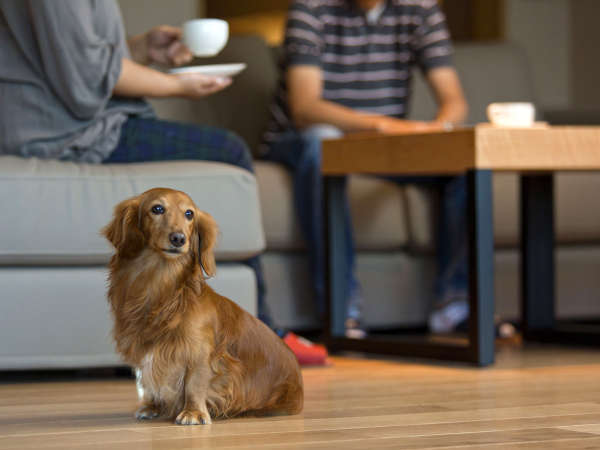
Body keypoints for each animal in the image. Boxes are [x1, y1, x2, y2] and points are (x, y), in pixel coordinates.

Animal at [102, 187, 304, 426]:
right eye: (157, 209)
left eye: (189, 214)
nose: (179, 238)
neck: (162, 286)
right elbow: (147, 380)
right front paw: (152, 406)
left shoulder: (199, 351)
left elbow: (194, 384)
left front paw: (193, 412)